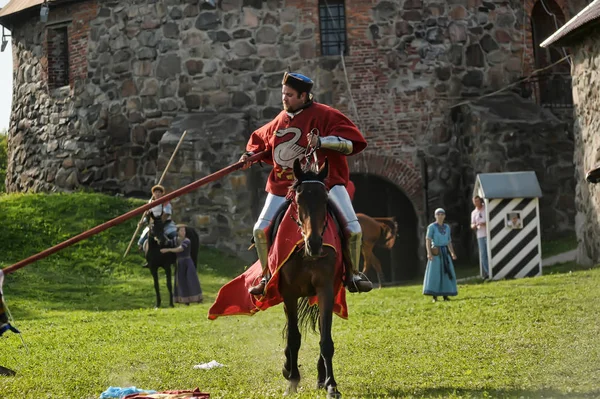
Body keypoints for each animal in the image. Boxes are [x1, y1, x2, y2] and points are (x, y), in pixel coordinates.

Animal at [276, 159, 342, 399]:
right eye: (298, 199)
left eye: (325, 199)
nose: (314, 244)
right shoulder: (288, 293)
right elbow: (293, 337)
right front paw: (292, 380)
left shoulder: (326, 289)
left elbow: (326, 340)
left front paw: (331, 384)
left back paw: (322, 377)